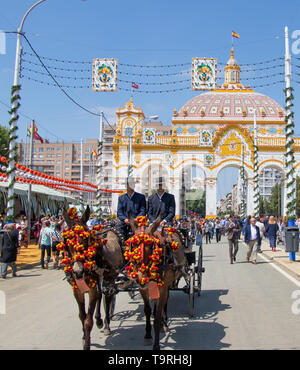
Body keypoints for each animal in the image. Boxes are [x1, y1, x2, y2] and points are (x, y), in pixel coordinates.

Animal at [126, 217, 186, 350]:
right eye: (133, 246)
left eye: (151, 246)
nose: (141, 277)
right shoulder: (143, 288)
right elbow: (148, 311)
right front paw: (148, 335)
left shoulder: (162, 287)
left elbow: (158, 315)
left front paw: (157, 344)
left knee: (164, 302)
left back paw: (164, 323)